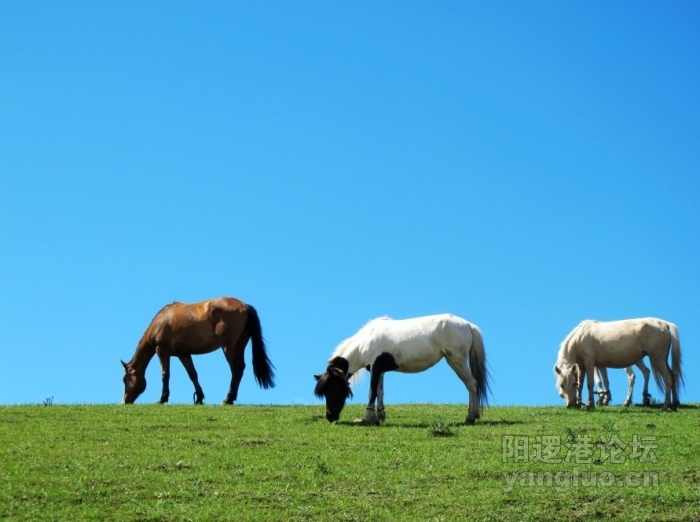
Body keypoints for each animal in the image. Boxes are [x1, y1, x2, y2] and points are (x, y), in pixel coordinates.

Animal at [120, 296, 274, 402]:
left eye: (125, 379)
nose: (124, 401)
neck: (160, 322)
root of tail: (243, 305)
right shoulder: (183, 354)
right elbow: (193, 374)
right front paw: (199, 398)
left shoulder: (162, 351)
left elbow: (165, 374)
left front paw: (163, 398)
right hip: (239, 345)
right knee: (240, 368)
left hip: (228, 347)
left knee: (236, 369)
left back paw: (228, 398)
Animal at [314, 312, 490, 422]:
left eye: (332, 388)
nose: (330, 417)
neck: (365, 342)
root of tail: (468, 325)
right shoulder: (379, 370)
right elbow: (380, 392)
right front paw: (380, 417)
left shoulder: (375, 368)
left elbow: (372, 392)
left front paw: (366, 418)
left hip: (456, 361)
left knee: (471, 384)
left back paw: (470, 417)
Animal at [552, 314, 684, 408]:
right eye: (562, 385)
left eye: (572, 384)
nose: (570, 405)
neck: (580, 338)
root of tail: (665, 324)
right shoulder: (582, 365)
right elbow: (584, 383)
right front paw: (582, 402)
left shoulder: (590, 363)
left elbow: (590, 383)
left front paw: (590, 404)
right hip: (660, 359)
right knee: (672, 375)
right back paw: (674, 403)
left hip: (658, 358)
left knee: (667, 377)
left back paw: (665, 405)